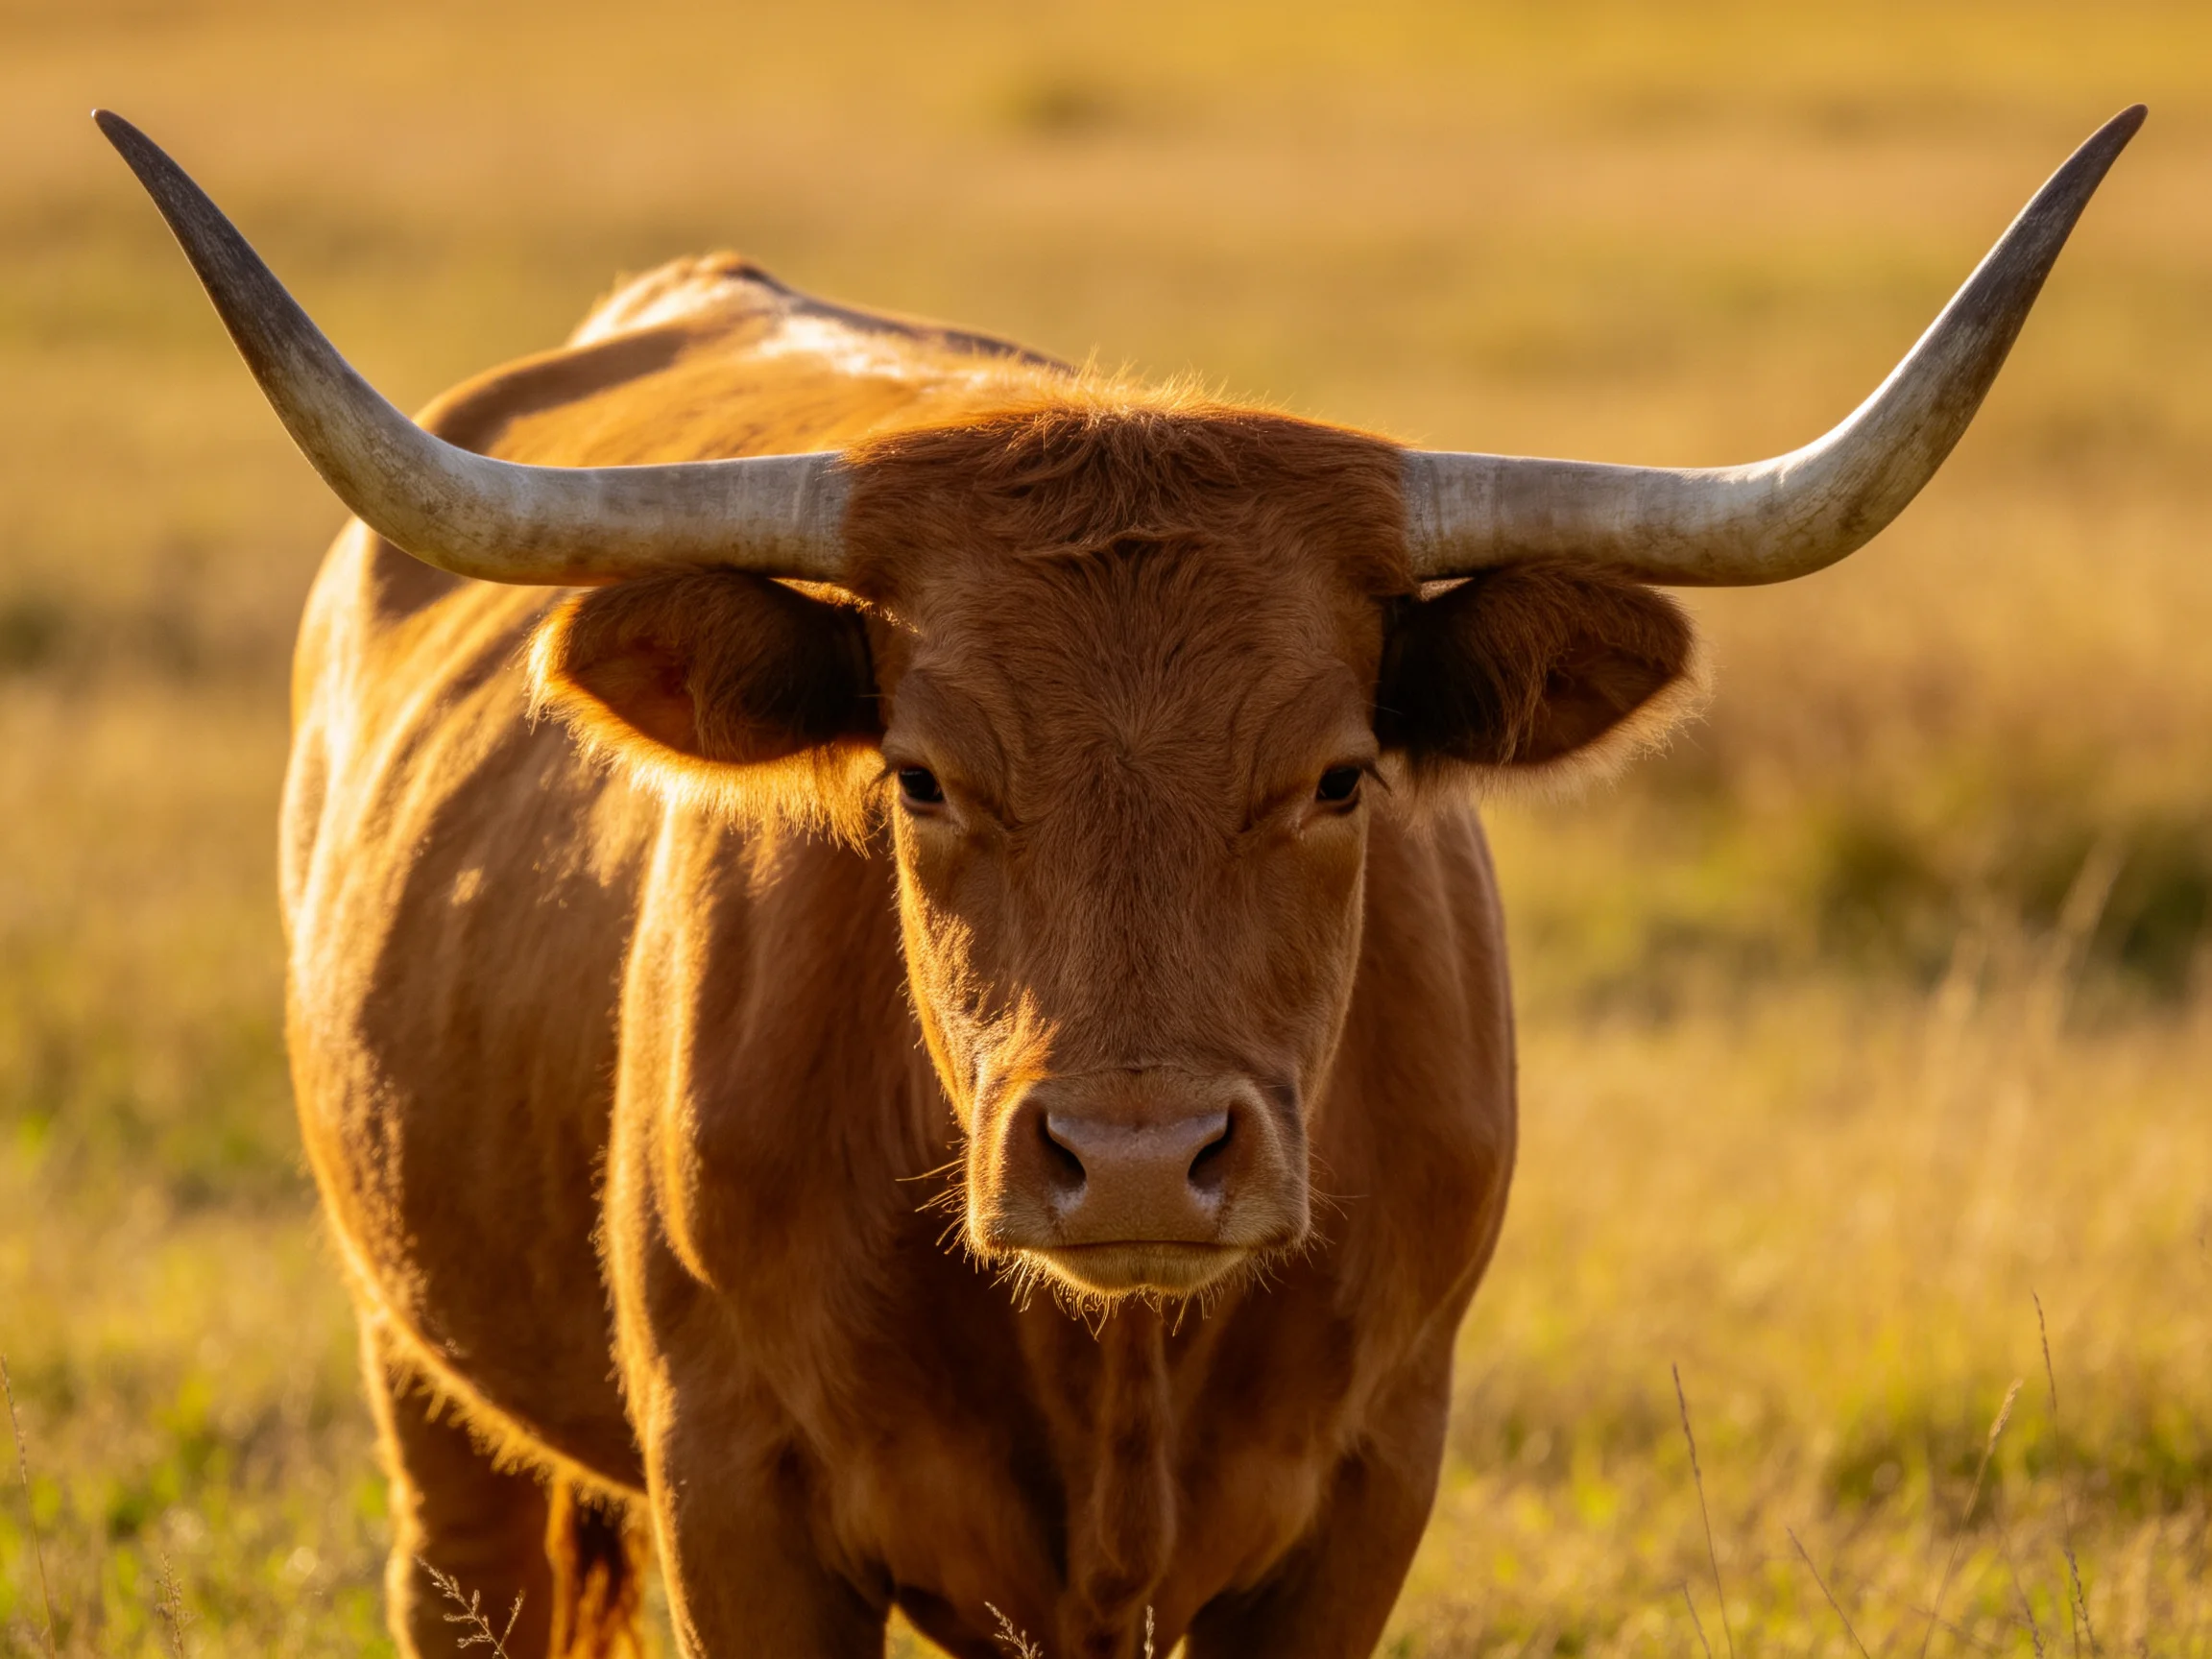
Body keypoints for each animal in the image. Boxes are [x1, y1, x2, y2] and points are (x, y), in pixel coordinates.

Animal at [99, 105, 2139, 1659]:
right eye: (919, 775)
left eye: (1338, 774)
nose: (1141, 1160)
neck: (1117, 1371)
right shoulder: (732, 1491)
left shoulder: (1364, 1487)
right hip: (423, 1379)